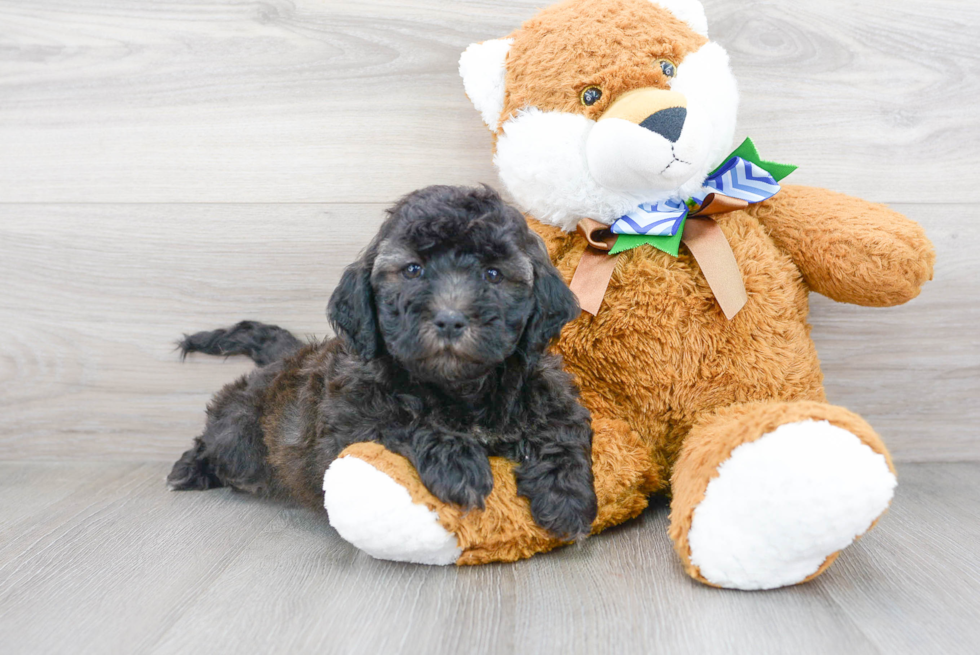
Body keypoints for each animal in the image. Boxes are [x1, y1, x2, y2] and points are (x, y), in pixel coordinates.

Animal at [169, 183, 596, 540]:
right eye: (413, 270)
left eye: (493, 274)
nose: (450, 319)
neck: (460, 389)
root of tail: (287, 356)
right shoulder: (346, 425)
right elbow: (399, 421)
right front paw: (457, 461)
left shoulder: (549, 392)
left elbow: (562, 433)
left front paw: (566, 495)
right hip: (242, 433)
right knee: (222, 440)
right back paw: (191, 467)